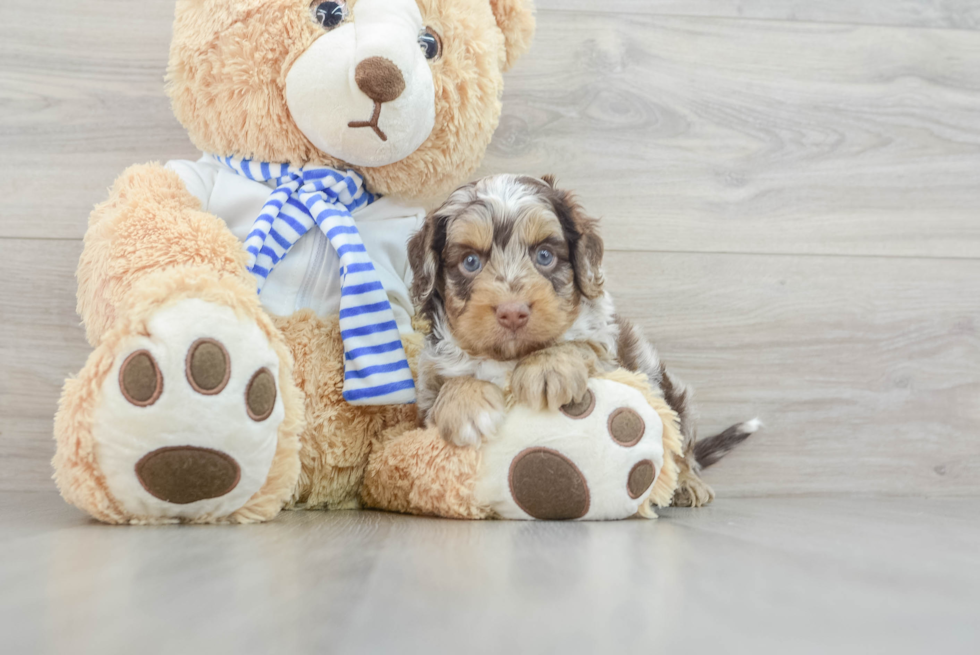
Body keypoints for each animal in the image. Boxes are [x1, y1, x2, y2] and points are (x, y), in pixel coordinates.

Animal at [406, 174, 756, 508]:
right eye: (470, 262)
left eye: (544, 255)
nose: (512, 312)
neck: (509, 357)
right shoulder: (427, 390)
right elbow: (449, 385)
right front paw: (465, 404)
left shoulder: (611, 357)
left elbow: (579, 344)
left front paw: (547, 368)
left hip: (670, 393)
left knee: (680, 446)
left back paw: (686, 483)